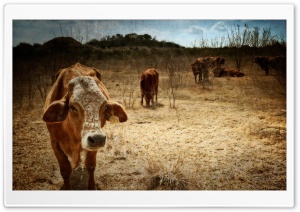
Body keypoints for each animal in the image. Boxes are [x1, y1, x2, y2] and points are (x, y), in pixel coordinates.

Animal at [42, 62, 127, 190]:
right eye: (73, 107)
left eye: (104, 107)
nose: (97, 138)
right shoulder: (54, 143)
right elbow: (65, 170)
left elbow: (90, 165)